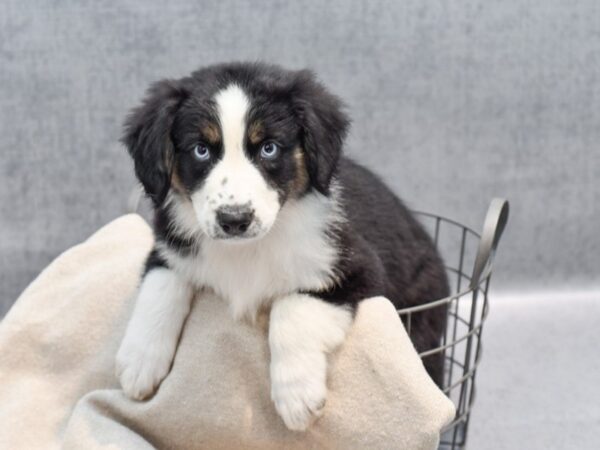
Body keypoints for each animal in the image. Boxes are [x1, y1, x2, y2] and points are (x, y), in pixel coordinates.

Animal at [115, 61, 448, 430]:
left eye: (269, 148)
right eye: (201, 149)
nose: (234, 219)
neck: (246, 249)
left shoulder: (356, 266)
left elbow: (291, 305)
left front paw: (297, 396)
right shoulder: (170, 246)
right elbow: (159, 286)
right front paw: (138, 364)